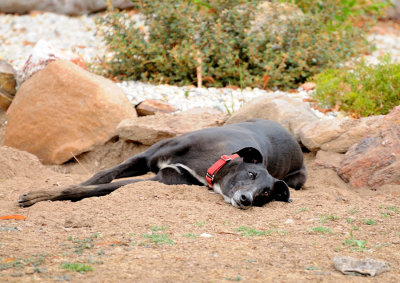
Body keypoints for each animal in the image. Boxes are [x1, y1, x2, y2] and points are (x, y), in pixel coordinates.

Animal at [18, 118, 306, 210]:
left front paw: (40, 195)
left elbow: (100, 188)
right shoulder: (147, 156)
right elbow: (102, 176)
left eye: (265, 195)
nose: (246, 200)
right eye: (251, 173)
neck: (210, 163)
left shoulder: (162, 179)